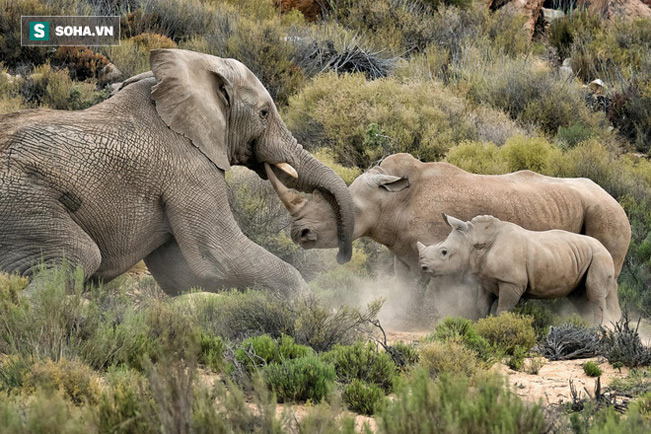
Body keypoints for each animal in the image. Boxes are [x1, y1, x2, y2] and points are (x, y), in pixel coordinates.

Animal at [0, 49, 354, 296]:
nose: (306, 235)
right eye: (264, 113)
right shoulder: (190, 169)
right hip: (20, 201)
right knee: (78, 256)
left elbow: (183, 275)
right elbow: (219, 257)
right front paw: (306, 309)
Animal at [418, 214, 620, 326]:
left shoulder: (511, 282)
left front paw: (500, 328)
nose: (423, 267)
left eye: (444, 252)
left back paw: (596, 330)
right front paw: (481, 326)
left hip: (599, 256)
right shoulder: (485, 281)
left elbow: (503, 309)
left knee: (595, 293)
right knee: (580, 297)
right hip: (585, 256)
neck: (477, 240)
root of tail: (606, 249)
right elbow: (482, 306)